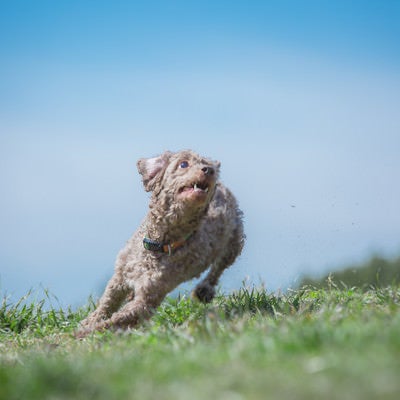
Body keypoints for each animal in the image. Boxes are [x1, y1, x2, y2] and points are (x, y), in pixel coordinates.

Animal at [76, 148, 242, 336]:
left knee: (218, 269)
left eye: (208, 165)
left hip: (234, 243)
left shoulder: (147, 299)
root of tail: (224, 188)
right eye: (183, 164)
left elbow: (116, 319)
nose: (209, 170)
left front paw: (86, 332)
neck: (158, 243)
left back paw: (204, 290)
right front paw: (89, 321)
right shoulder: (119, 277)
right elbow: (107, 302)